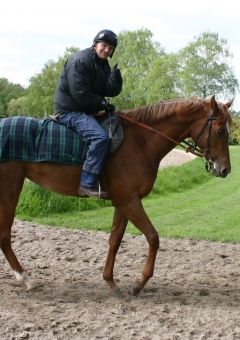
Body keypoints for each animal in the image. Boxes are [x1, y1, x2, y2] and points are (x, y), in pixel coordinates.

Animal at [0, 94, 232, 294]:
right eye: (221, 130)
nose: (225, 170)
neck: (140, 142)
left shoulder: (123, 202)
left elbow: (115, 239)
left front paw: (110, 281)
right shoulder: (129, 201)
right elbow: (153, 237)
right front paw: (139, 283)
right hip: (10, 187)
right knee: (4, 236)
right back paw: (26, 279)